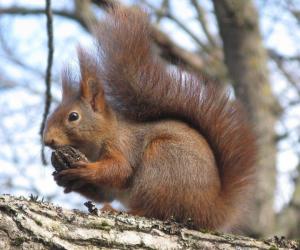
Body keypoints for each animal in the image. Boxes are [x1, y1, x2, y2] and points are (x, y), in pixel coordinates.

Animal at [43, 6, 256, 232]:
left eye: (73, 116)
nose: (47, 140)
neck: (103, 137)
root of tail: (209, 210)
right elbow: (104, 191)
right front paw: (65, 179)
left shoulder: (123, 145)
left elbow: (120, 170)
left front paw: (85, 169)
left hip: (161, 165)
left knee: (156, 211)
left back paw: (121, 211)